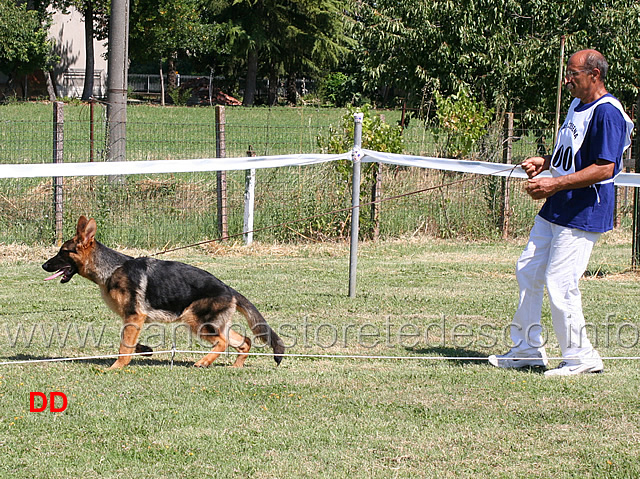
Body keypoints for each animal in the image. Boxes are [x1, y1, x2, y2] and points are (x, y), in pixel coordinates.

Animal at [42, 216, 284, 370]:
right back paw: (235, 365)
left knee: (223, 342)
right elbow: (129, 342)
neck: (111, 269)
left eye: (63, 252)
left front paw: (116, 367)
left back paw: (204, 362)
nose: (44, 266)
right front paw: (143, 350)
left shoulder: (134, 316)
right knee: (244, 340)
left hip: (196, 321)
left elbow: (123, 346)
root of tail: (228, 288)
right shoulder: (132, 320)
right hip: (212, 324)